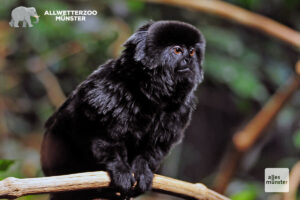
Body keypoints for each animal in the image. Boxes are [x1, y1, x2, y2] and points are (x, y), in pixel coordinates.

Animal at [41, 20, 206, 200]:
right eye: (177, 50)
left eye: (192, 52)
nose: (188, 60)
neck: (149, 95)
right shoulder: (104, 92)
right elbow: (104, 137)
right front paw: (120, 170)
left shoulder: (180, 109)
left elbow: (154, 148)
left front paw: (143, 171)